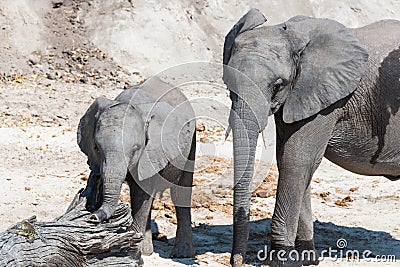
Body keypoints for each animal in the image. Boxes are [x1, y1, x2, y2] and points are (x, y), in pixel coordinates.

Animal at [76, 77, 195, 258]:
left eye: (135, 149)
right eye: (96, 148)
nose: (93, 218)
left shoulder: (152, 152)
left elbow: (142, 194)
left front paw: (131, 251)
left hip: (191, 143)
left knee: (180, 192)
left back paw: (181, 254)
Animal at [223, 8, 400, 267]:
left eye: (278, 85)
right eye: (228, 86)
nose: (237, 261)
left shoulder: (326, 99)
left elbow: (296, 160)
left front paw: (282, 259)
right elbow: (291, 160)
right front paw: (305, 258)